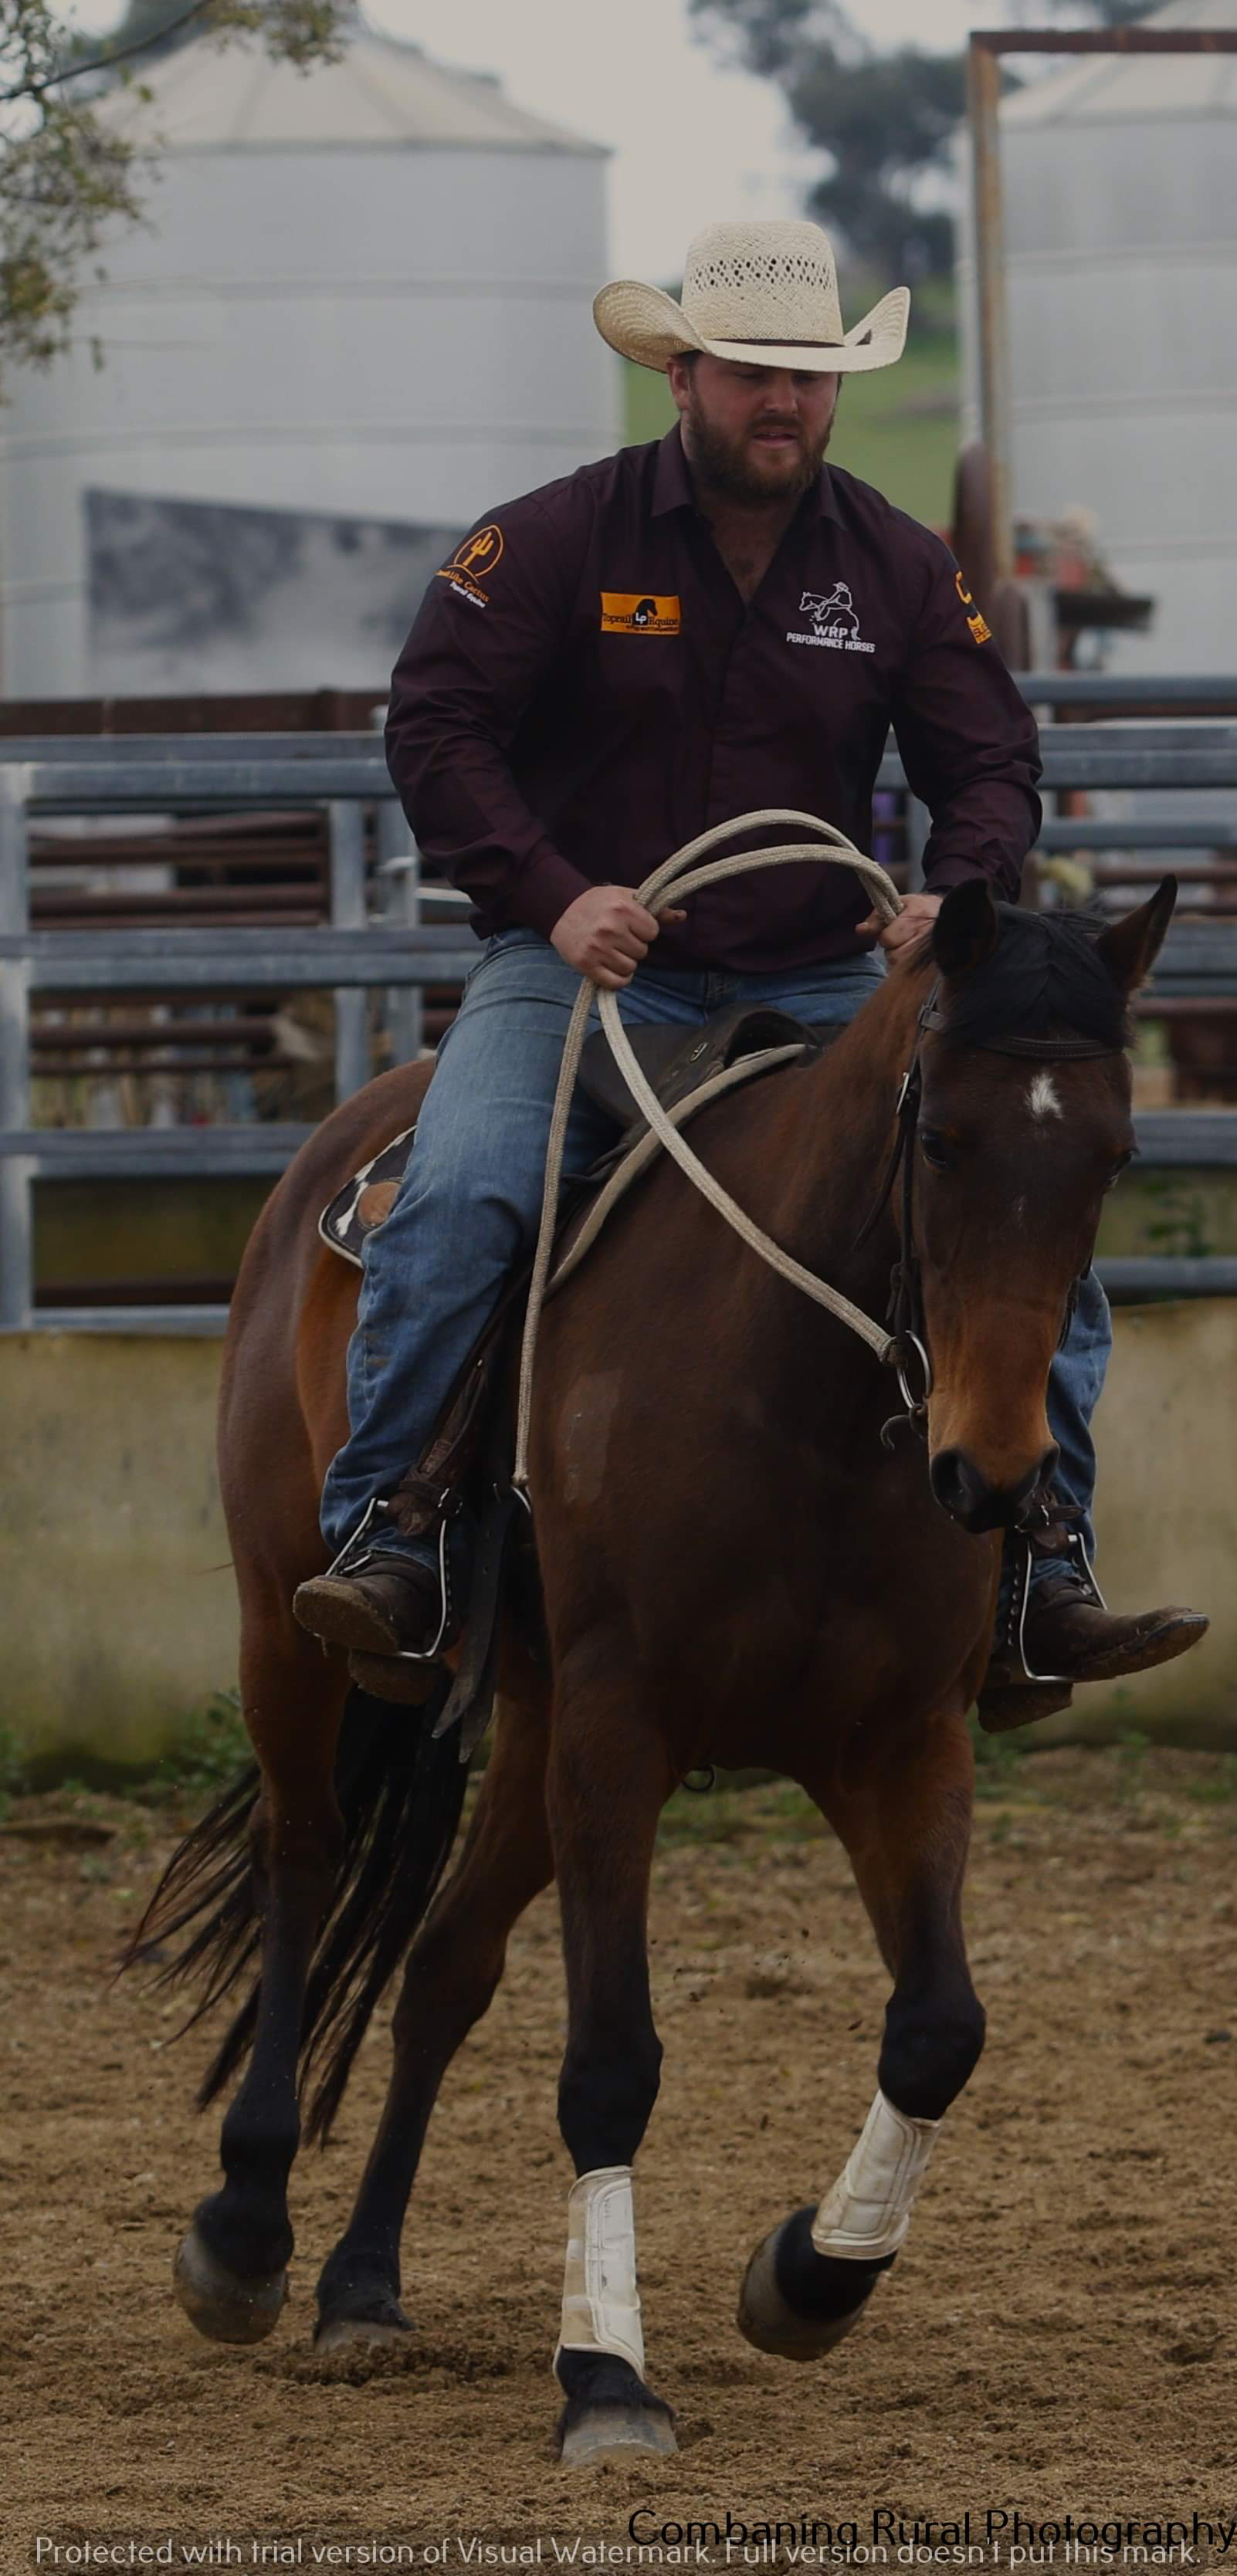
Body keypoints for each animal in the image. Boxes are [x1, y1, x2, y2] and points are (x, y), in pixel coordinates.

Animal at [128, 873, 1174, 2467]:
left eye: (1110, 1153)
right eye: (941, 1136)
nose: (993, 1476)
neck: (804, 1399)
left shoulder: (897, 1739)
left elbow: (938, 2028)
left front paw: (808, 2274)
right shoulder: (624, 1729)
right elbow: (612, 2058)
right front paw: (607, 2376)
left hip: (530, 1713)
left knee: (443, 1964)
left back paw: (361, 2285)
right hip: (287, 1626)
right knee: (305, 1863)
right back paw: (246, 2230)